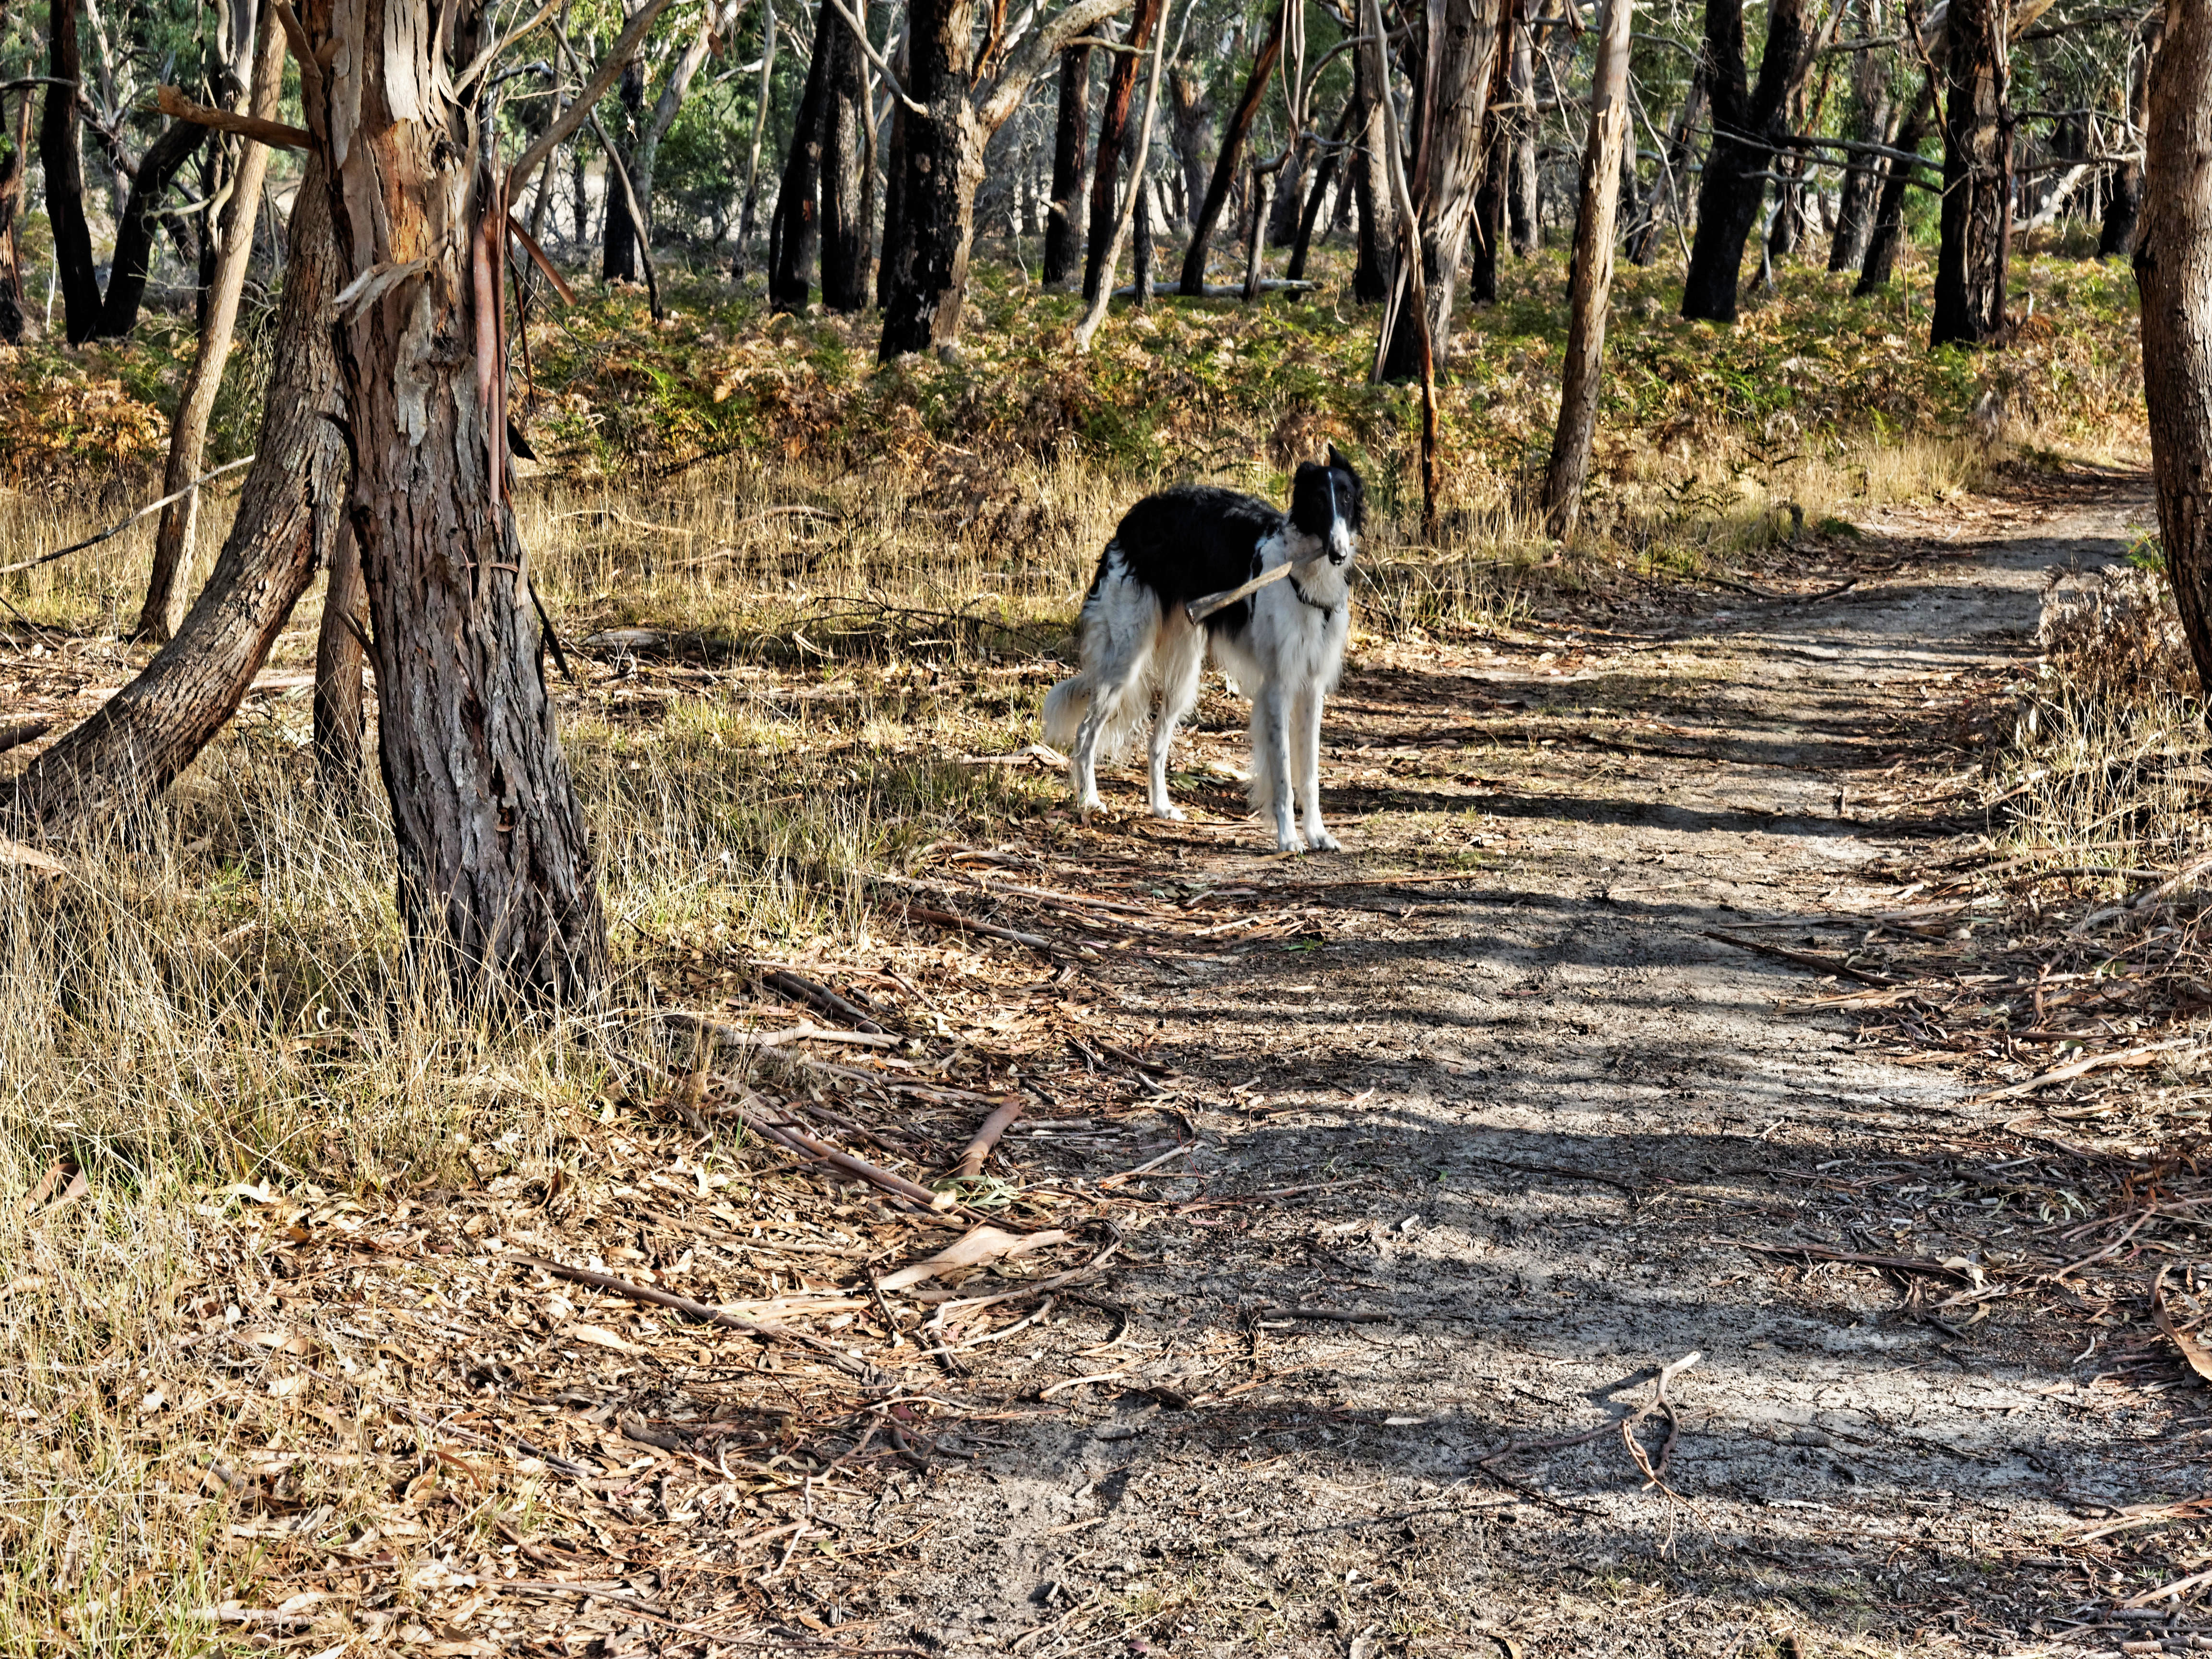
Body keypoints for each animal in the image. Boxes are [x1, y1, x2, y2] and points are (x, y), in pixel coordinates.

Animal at [1039, 449, 1362, 849]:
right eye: (1318, 500)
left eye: (1346, 497)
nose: (1338, 552)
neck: (1304, 577)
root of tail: (1133, 519)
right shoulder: (1278, 686)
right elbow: (1284, 777)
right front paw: (1288, 840)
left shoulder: (1312, 687)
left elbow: (1310, 775)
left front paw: (1318, 834)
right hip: (1124, 661)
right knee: (1086, 733)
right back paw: (1089, 800)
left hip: (1184, 672)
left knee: (1156, 743)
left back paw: (1161, 807)